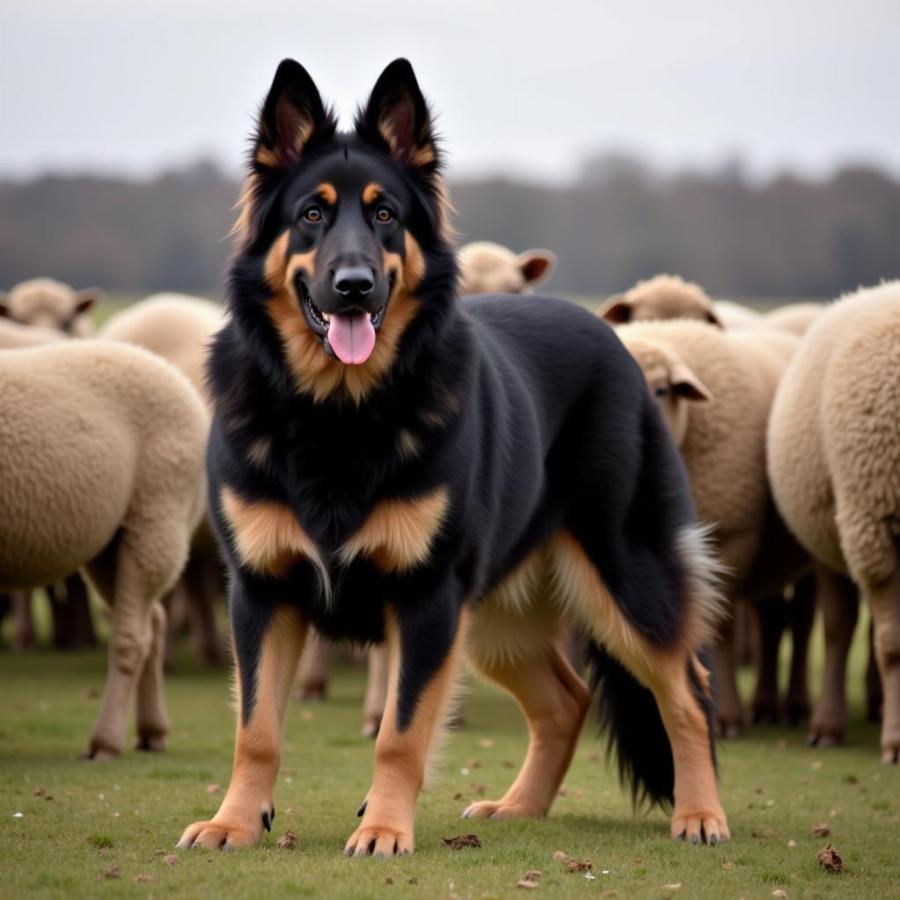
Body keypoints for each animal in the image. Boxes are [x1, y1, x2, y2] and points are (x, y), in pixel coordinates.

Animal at [0, 342, 206, 756]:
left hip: (156, 515)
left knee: (132, 639)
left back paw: (105, 742)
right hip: (111, 544)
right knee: (154, 622)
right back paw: (151, 732)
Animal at [178, 58, 732, 856]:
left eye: (385, 215)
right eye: (311, 215)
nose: (354, 287)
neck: (337, 412)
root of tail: (617, 342)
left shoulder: (427, 600)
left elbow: (400, 734)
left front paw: (382, 828)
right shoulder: (262, 592)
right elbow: (256, 730)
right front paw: (234, 822)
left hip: (626, 578)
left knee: (686, 690)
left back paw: (701, 815)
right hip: (498, 619)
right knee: (567, 701)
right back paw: (519, 808)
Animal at [616, 320, 812, 736]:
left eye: (662, 390)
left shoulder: (732, 539)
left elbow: (717, 627)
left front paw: (724, 718)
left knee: (805, 624)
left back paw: (801, 712)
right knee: (773, 620)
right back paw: (767, 707)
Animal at [768, 280, 900, 760]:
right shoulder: (876, 531)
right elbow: (891, 645)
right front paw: (895, 743)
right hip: (833, 532)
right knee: (839, 630)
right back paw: (827, 725)